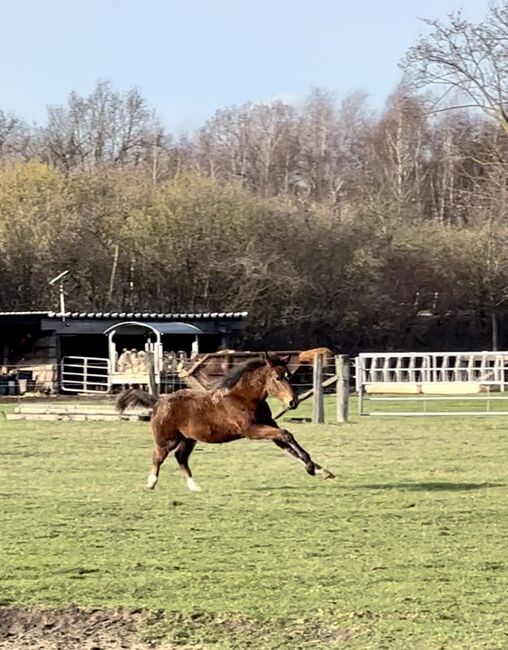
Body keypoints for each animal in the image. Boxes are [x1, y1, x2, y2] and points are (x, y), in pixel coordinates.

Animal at [117, 352, 336, 488]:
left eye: (289, 375)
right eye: (277, 378)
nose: (293, 402)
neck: (244, 398)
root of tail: (158, 401)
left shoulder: (268, 425)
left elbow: (288, 445)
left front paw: (322, 471)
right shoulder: (252, 430)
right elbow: (286, 435)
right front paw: (311, 468)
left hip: (188, 439)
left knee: (181, 458)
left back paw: (195, 487)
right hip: (167, 440)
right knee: (158, 457)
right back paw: (151, 483)